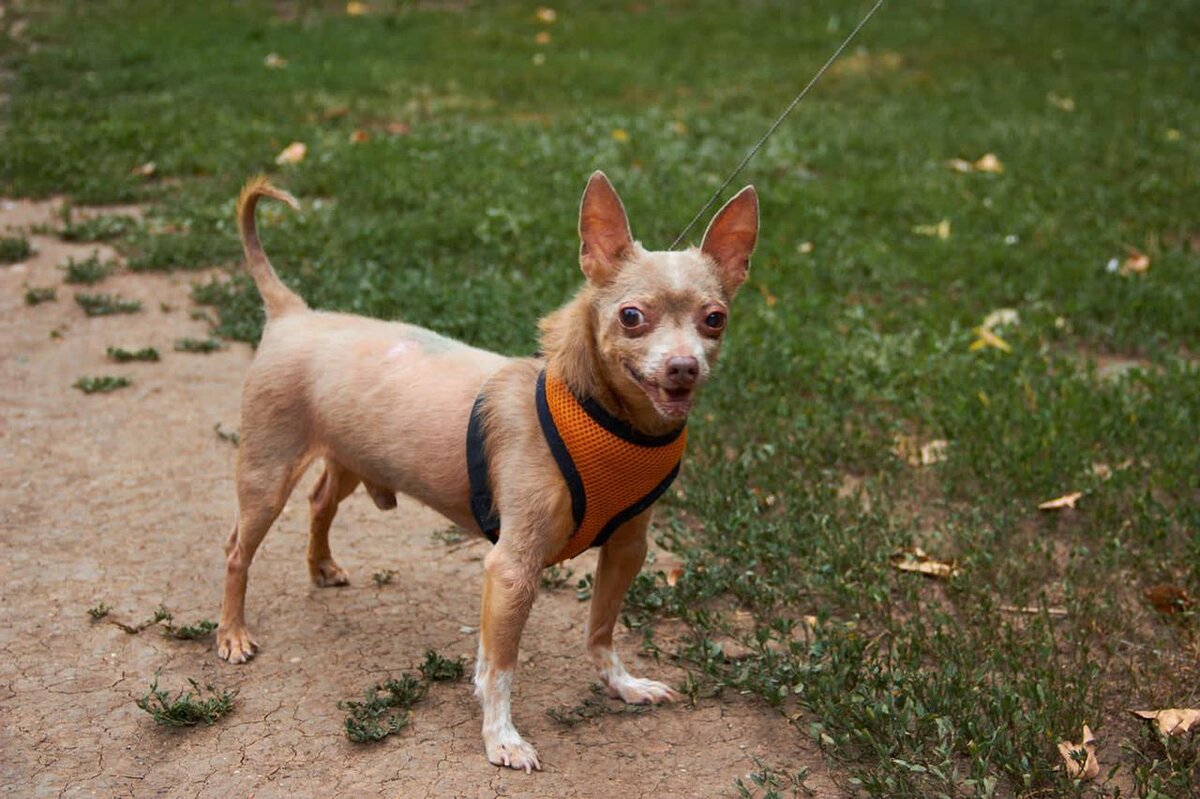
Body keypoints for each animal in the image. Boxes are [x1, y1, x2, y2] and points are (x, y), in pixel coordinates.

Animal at [216, 171, 759, 771]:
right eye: (631, 316)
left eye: (715, 319)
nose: (684, 367)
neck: (605, 420)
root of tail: (294, 313)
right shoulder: (514, 568)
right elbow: (502, 668)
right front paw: (501, 737)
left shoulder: (626, 550)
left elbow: (598, 630)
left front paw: (622, 684)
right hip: (266, 477)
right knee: (238, 550)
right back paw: (232, 634)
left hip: (351, 458)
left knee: (319, 501)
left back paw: (322, 566)